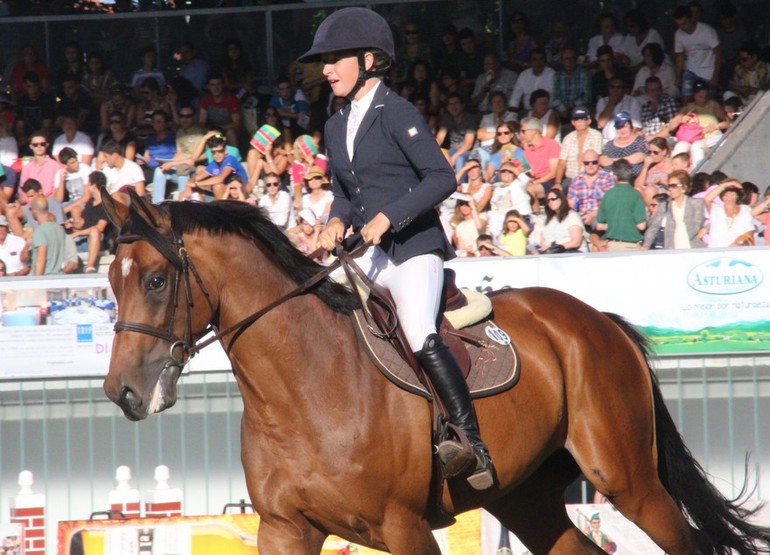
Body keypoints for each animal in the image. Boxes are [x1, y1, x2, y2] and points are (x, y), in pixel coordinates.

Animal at [102, 192, 768, 555]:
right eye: (111, 279)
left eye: (156, 281)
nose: (121, 392)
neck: (301, 386)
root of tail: (597, 321)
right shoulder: (285, 530)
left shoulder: (405, 526)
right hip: (527, 496)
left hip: (627, 479)